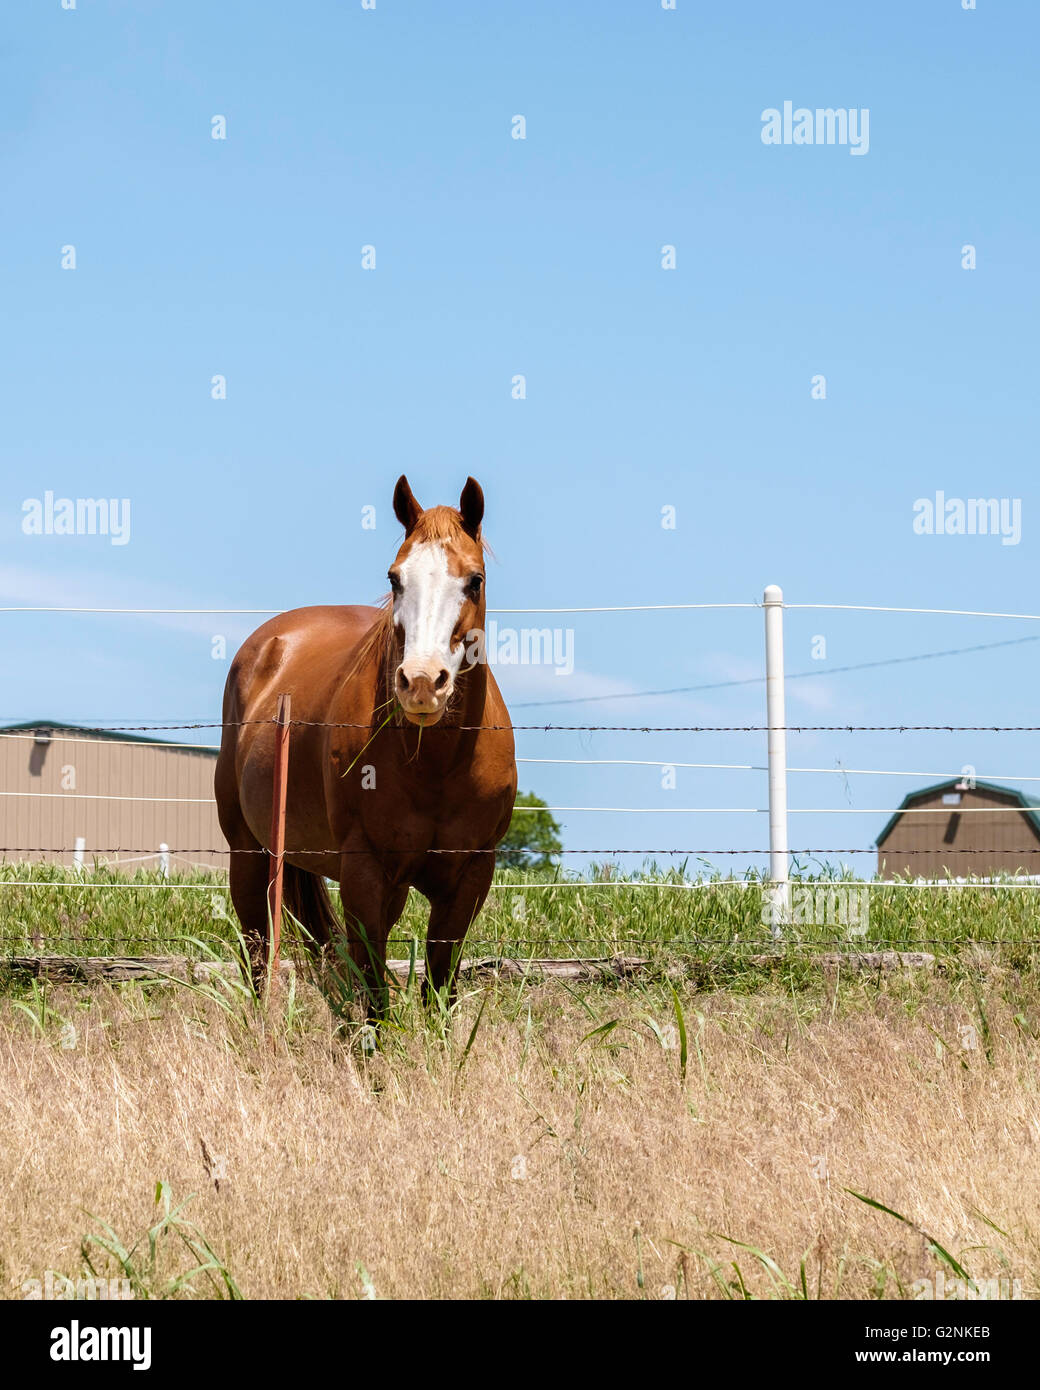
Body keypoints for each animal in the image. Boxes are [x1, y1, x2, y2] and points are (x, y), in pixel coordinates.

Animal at [214, 475, 517, 1011]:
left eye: (475, 580)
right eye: (395, 579)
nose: (422, 683)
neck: (436, 765)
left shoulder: (470, 877)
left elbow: (438, 987)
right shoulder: (364, 873)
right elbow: (373, 994)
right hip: (249, 852)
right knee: (257, 956)